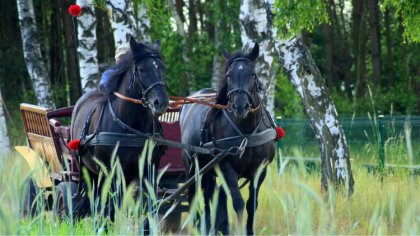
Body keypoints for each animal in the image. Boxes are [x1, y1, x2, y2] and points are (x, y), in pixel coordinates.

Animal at [70, 37, 169, 218]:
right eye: (142, 69)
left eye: (162, 68)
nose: (162, 102)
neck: (132, 128)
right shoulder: (114, 171)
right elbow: (114, 207)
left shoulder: (149, 169)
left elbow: (149, 206)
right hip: (89, 171)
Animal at [180, 42, 276, 234]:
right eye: (229, 76)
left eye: (252, 74)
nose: (240, 106)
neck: (246, 132)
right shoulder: (227, 168)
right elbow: (238, 203)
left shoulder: (260, 170)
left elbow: (251, 204)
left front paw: (248, 231)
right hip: (193, 167)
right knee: (194, 196)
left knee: (212, 197)